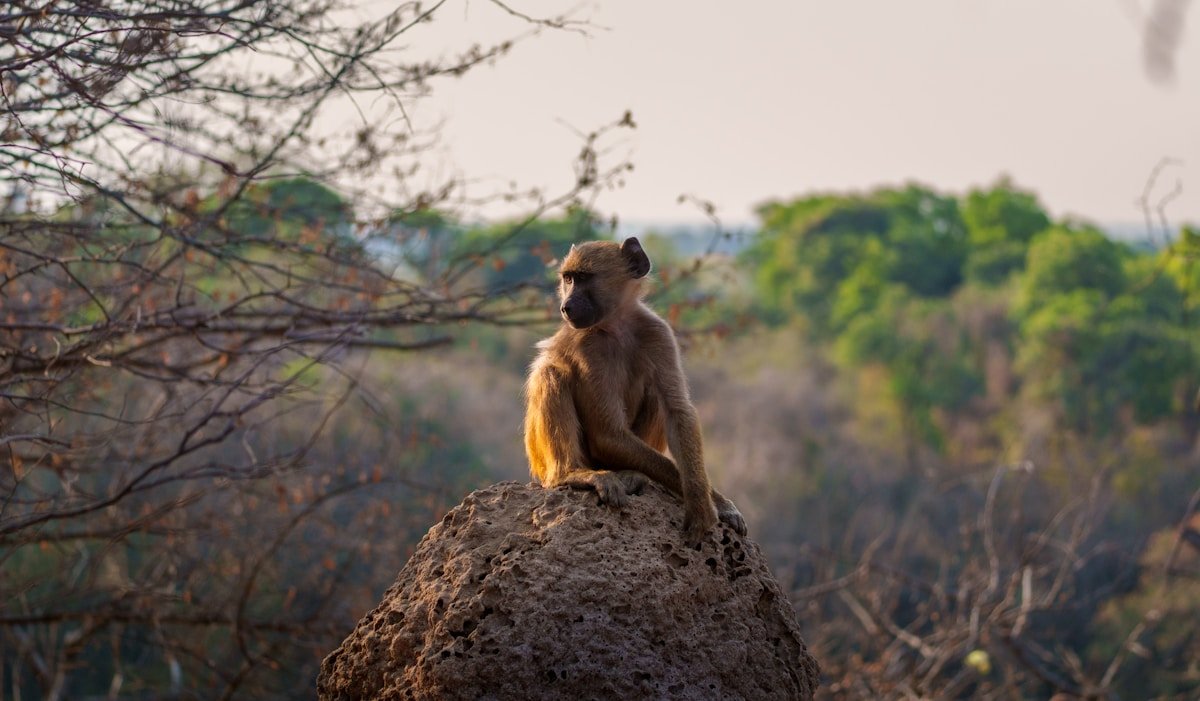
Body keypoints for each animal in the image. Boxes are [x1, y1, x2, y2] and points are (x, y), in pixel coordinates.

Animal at [523, 237, 746, 545]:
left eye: (583, 278)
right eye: (568, 279)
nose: (566, 307)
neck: (616, 324)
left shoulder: (658, 332)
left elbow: (677, 411)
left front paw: (708, 503)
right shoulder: (587, 347)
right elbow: (608, 432)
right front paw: (714, 504)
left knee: (654, 393)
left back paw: (633, 475)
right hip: (552, 462)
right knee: (551, 373)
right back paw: (572, 474)